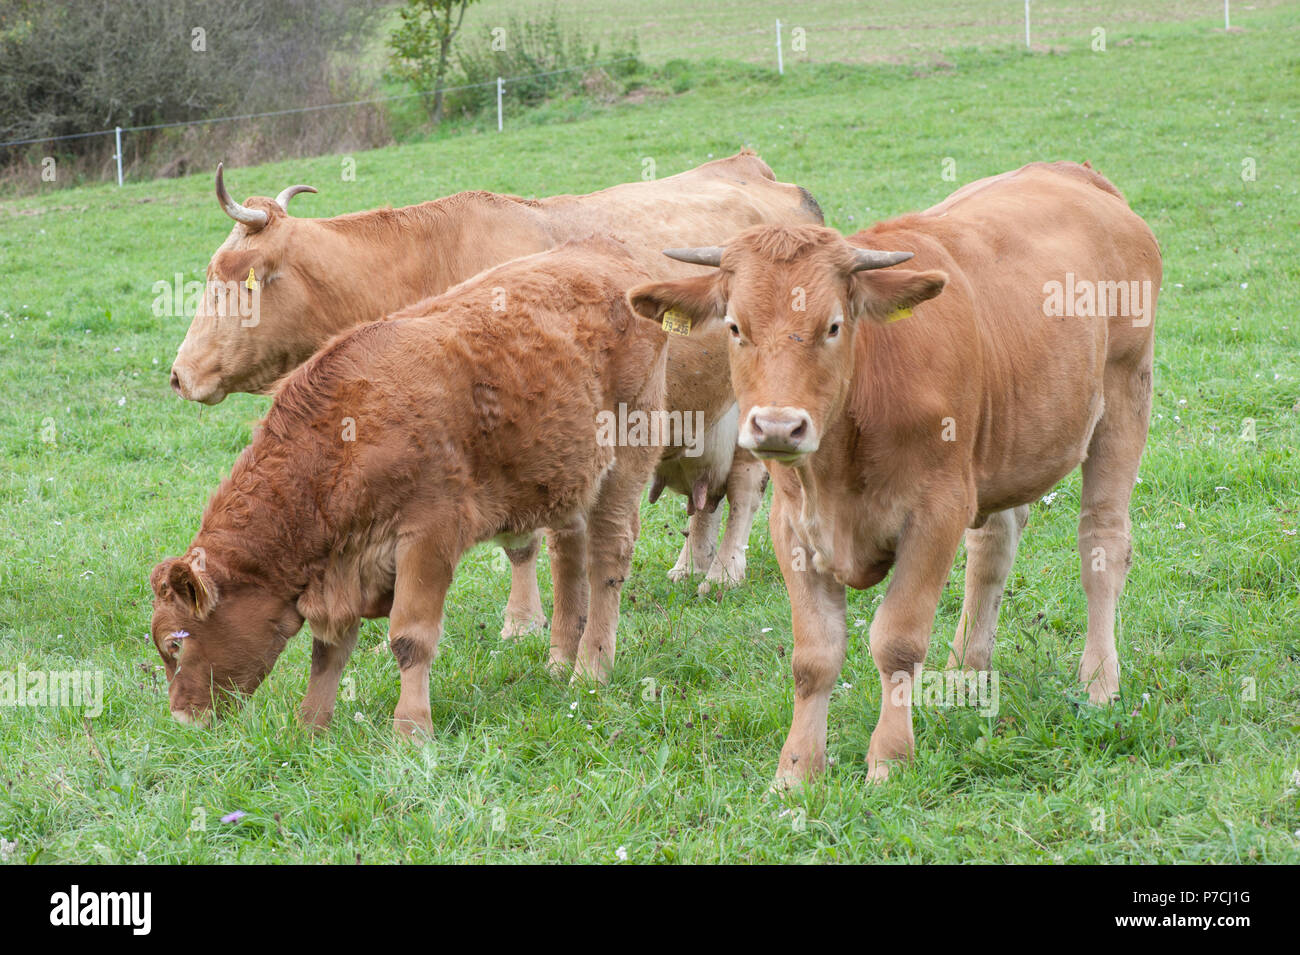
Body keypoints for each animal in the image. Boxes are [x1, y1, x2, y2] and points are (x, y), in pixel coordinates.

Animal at [153, 239, 670, 732]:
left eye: (175, 645)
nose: (181, 718)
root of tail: (605, 254)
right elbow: (328, 651)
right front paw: (311, 728)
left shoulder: (429, 535)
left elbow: (410, 638)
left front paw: (412, 729)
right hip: (568, 477)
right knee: (570, 557)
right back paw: (560, 662)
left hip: (628, 454)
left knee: (607, 560)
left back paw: (591, 670)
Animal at [170, 153, 821, 639]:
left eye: (225, 278)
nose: (178, 374)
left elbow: (523, 544)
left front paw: (522, 621)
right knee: (705, 501)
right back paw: (690, 567)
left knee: (743, 491)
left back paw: (723, 573)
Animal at [626, 164, 1159, 789]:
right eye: (734, 327)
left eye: (833, 325)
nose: (778, 426)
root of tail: (1072, 174)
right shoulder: (793, 525)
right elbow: (813, 657)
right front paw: (796, 769)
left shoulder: (936, 513)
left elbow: (897, 642)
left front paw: (889, 759)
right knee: (993, 548)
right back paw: (964, 675)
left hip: (1125, 397)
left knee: (1102, 542)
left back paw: (1099, 682)